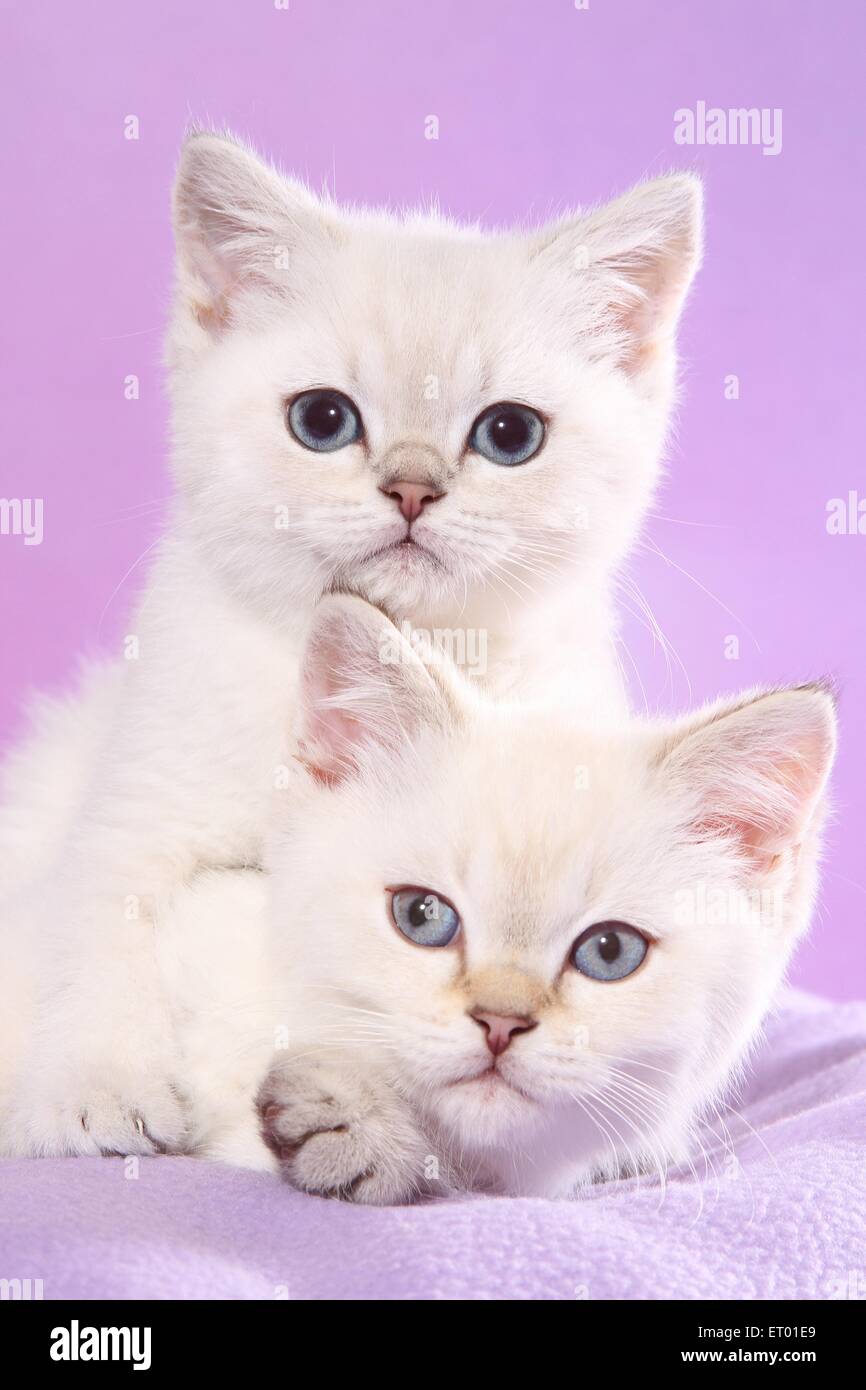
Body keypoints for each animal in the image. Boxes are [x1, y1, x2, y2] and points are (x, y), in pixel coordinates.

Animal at [0, 130, 706, 1156]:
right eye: (323, 419)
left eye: (510, 433)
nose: (412, 487)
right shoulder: (138, 806)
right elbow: (95, 929)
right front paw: (97, 1090)